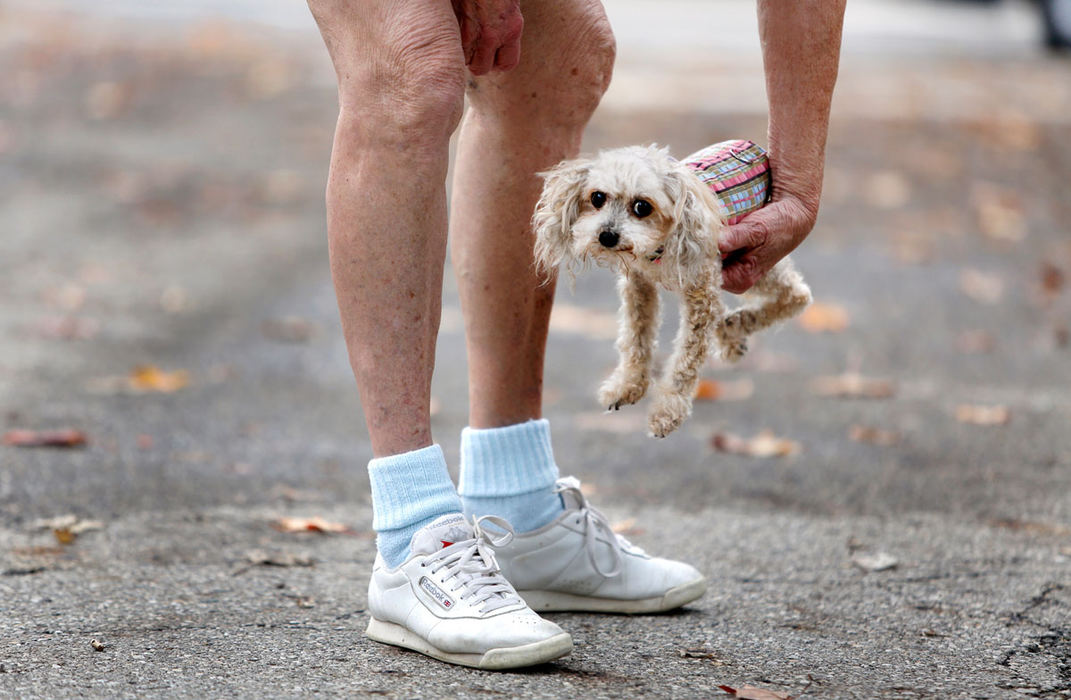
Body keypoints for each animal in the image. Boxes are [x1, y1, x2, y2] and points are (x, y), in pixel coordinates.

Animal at [535, 143, 809, 438]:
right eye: (597, 198)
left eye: (642, 206)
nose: (606, 236)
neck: (657, 249)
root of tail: (755, 148)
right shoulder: (639, 285)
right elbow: (636, 339)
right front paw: (627, 385)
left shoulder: (701, 294)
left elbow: (685, 362)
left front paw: (668, 411)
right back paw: (730, 332)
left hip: (753, 263)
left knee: (799, 294)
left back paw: (735, 325)